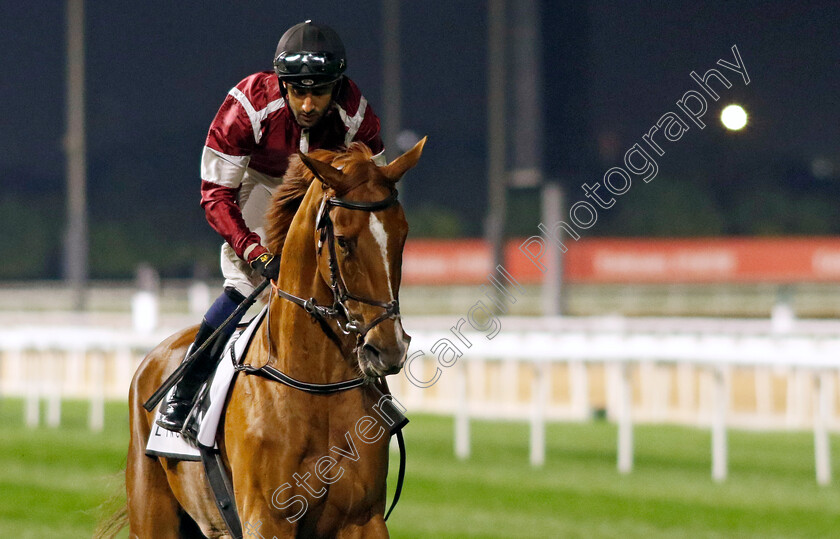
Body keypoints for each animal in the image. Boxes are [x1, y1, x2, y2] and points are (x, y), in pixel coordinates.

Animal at [121, 140, 424, 539]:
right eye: (344, 241)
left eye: (402, 236)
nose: (388, 348)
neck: (316, 385)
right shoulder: (266, 518)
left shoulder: (363, 518)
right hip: (152, 516)